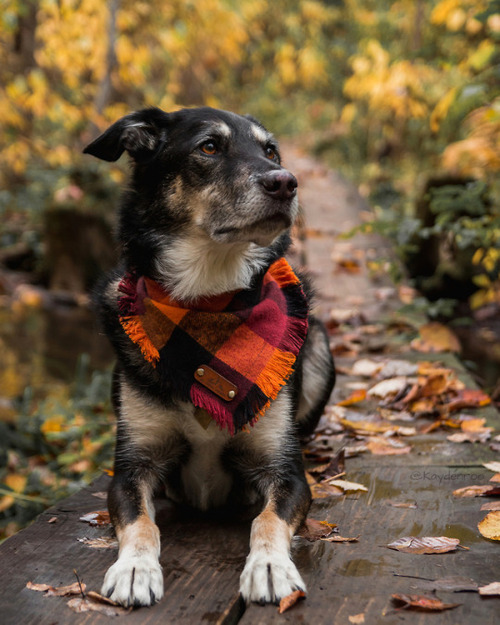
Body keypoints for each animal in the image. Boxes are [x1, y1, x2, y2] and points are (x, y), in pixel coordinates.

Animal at [84, 106, 336, 604]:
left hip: (318, 344)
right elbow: (139, 523)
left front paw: (270, 566)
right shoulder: (132, 466)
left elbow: (267, 520)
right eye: (209, 147)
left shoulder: (286, 471)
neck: (209, 302)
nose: (285, 182)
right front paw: (135, 568)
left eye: (270, 151)